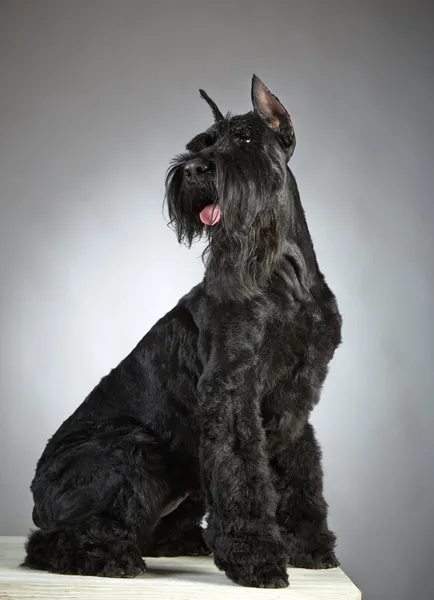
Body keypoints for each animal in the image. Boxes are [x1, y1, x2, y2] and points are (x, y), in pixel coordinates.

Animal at [23, 76, 342, 592]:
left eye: (245, 139)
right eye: (198, 145)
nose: (193, 170)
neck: (284, 272)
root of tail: (36, 496)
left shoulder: (296, 396)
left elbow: (300, 473)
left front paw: (309, 546)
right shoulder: (230, 391)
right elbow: (244, 474)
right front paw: (257, 558)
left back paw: (186, 541)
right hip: (131, 447)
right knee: (56, 539)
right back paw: (109, 558)